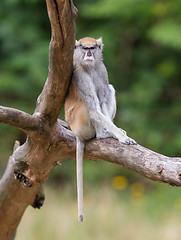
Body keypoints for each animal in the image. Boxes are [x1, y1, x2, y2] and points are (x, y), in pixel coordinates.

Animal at [64, 36, 136, 222]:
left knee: (109, 89)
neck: (89, 67)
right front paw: (121, 137)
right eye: (84, 48)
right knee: (88, 106)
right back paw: (102, 134)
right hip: (80, 123)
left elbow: (103, 97)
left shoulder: (102, 70)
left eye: (92, 48)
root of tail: (76, 133)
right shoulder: (79, 76)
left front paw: (117, 132)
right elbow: (94, 109)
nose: (89, 54)